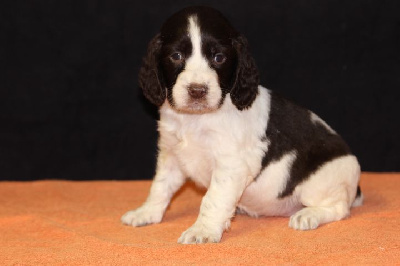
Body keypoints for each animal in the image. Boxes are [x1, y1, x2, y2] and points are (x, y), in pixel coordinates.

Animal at [122, 6, 362, 244]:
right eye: (176, 56)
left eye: (219, 57)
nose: (197, 90)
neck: (196, 119)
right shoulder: (171, 155)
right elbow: (160, 186)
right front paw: (146, 213)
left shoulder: (231, 165)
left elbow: (212, 199)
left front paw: (202, 230)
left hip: (321, 181)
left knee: (340, 208)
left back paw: (309, 215)